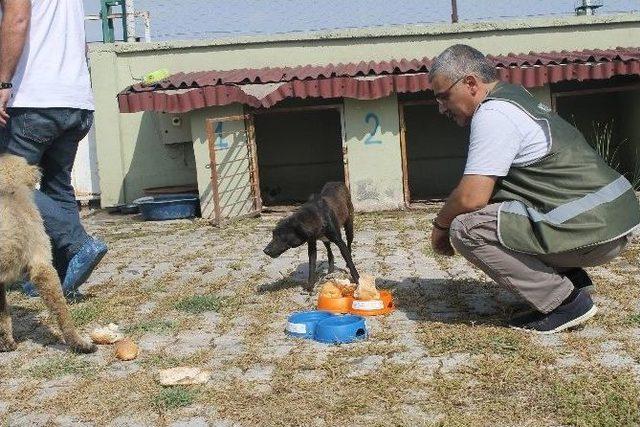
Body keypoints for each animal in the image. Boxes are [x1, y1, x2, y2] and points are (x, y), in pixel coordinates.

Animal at [0, 155, 95, 354]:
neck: (8, 191)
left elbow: (3, 314)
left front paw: (6, 343)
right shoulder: (42, 266)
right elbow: (62, 311)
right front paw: (78, 343)